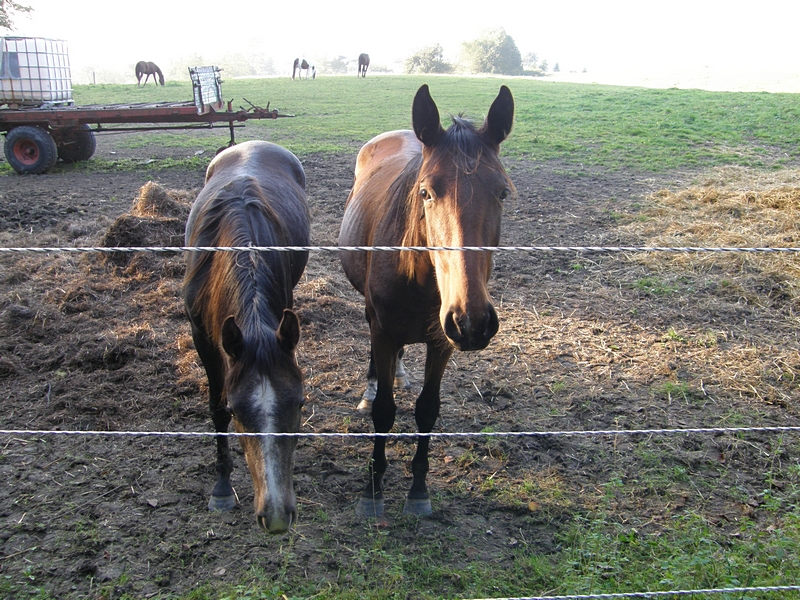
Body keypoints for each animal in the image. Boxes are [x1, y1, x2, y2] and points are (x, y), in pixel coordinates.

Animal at [336, 85, 512, 520]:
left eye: (502, 191)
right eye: (426, 192)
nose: (473, 320)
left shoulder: (442, 342)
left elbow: (427, 410)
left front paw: (418, 490)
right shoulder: (383, 331)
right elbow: (384, 411)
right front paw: (373, 488)